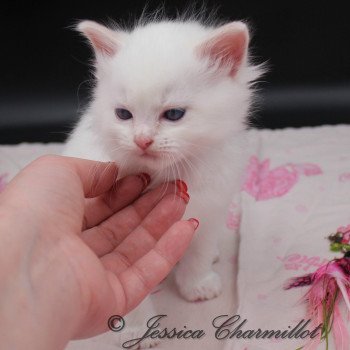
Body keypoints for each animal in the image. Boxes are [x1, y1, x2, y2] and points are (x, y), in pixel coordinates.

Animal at [63, 15, 262, 348]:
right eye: (123, 114)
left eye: (174, 114)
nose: (142, 140)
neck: (167, 174)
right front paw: (135, 330)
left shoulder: (212, 207)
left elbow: (199, 252)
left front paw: (197, 286)